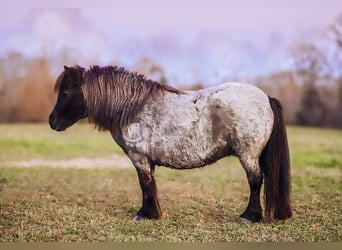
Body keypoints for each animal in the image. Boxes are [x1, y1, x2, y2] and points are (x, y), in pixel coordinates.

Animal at [49, 65, 292, 223]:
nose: (52, 121)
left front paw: (145, 214)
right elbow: (150, 185)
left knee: (255, 180)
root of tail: (266, 98)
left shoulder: (139, 157)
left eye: (66, 91)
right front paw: (152, 212)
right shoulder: (148, 160)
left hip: (248, 155)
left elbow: (145, 183)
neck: (132, 108)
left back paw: (249, 216)